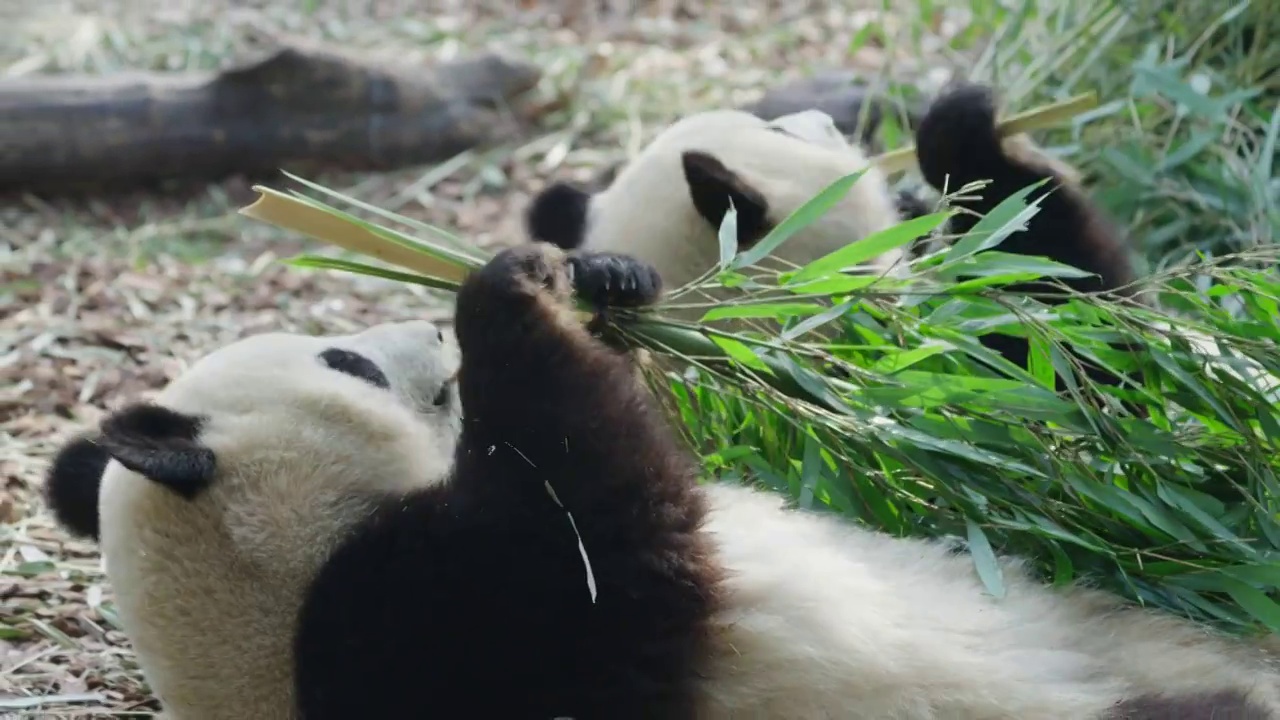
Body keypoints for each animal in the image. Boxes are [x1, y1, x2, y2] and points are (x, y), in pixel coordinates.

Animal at [45, 239, 1280, 712]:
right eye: (343, 362)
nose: (418, 329)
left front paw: (606, 279)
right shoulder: (432, 630)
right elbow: (604, 513)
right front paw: (506, 290)